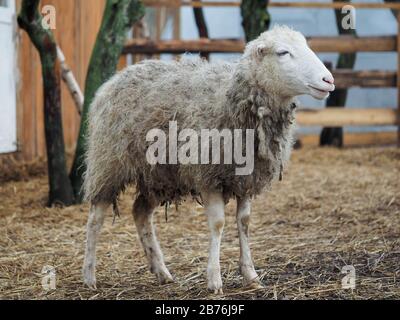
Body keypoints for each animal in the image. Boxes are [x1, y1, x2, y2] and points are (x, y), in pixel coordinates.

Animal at [82, 26, 334, 294]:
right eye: (283, 52)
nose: (328, 80)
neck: (232, 101)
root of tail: (116, 78)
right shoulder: (209, 176)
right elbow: (218, 224)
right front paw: (214, 279)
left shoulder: (246, 178)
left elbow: (244, 222)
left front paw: (251, 275)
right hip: (108, 162)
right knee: (96, 218)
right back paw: (89, 276)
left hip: (157, 175)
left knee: (140, 212)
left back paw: (161, 271)